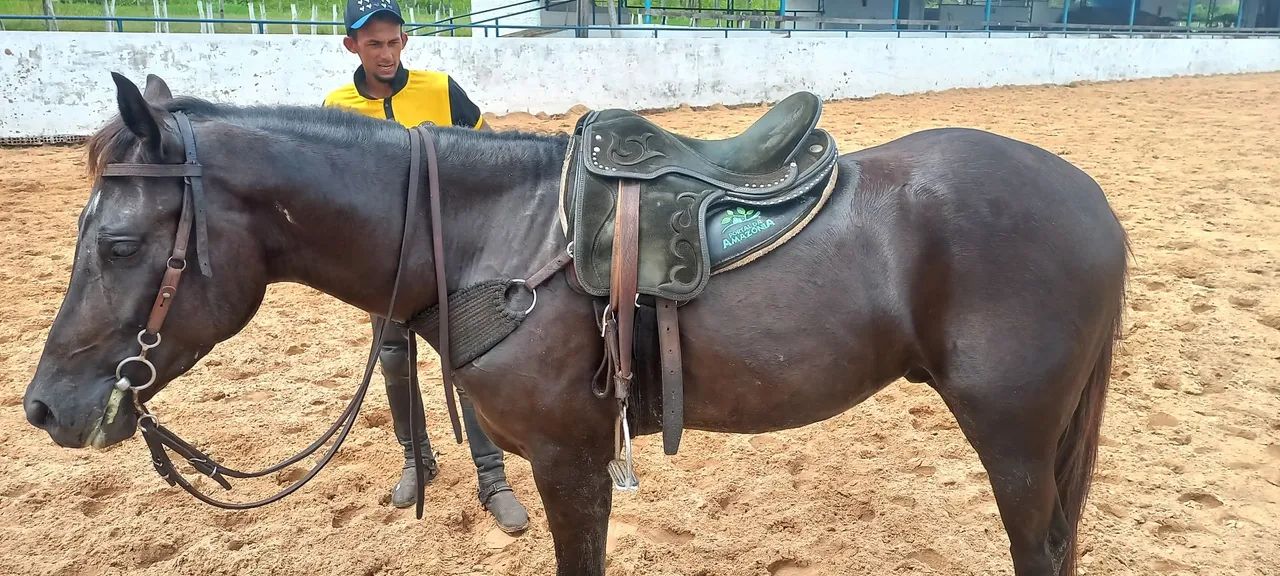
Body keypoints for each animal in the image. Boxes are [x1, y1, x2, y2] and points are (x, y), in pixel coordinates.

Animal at [23, 73, 1128, 576]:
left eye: (117, 241)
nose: (43, 408)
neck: (491, 234)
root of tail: (1092, 204)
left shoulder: (569, 457)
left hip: (1014, 440)